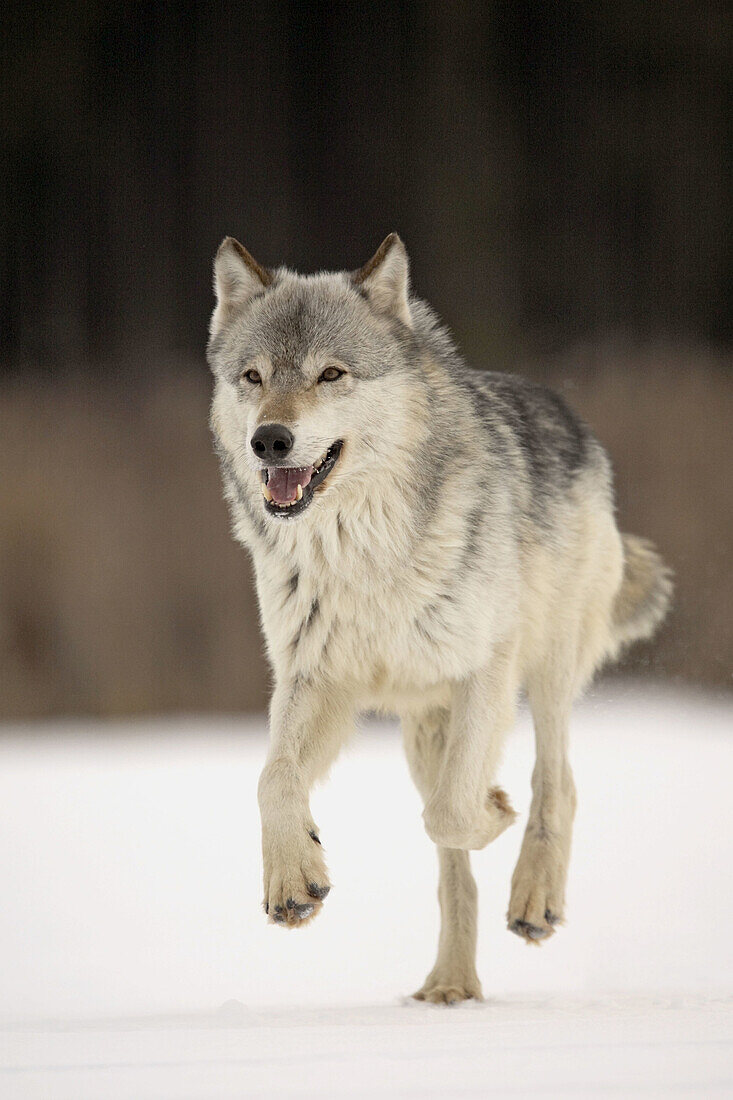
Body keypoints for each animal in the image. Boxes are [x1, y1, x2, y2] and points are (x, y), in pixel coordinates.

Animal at [203, 234, 669, 1007]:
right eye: (252, 376)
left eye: (331, 374)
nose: (269, 439)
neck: (364, 554)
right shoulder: (314, 682)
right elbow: (272, 778)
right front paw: (293, 879)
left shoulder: (486, 671)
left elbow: (455, 812)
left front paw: (494, 810)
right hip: (424, 733)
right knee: (454, 872)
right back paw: (451, 983)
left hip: (543, 675)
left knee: (555, 785)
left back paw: (533, 897)